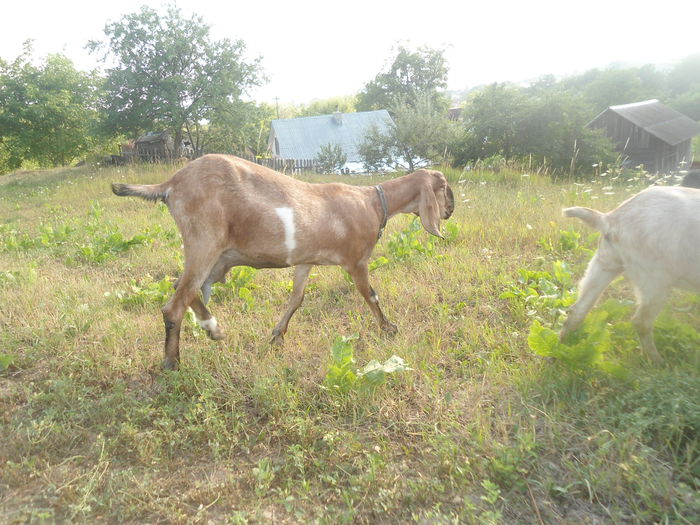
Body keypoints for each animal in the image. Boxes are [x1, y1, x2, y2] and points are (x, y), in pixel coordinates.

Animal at [110, 155, 454, 368]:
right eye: (444, 188)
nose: (450, 211)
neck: (373, 202)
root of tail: (170, 183)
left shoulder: (305, 260)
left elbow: (296, 298)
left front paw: (277, 335)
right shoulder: (357, 261)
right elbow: (370, 295)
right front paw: (388, 328)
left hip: (212, 254)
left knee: (185, 288)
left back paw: (213, 330)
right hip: (205, 241)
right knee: (176, 303)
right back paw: (173, 362)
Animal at [560, 184, 700, 360]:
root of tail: (611, 218)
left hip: (604, 265)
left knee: (578, 310)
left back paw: (560, 348)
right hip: (655, 281)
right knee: (641, 322)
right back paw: (656, 360)